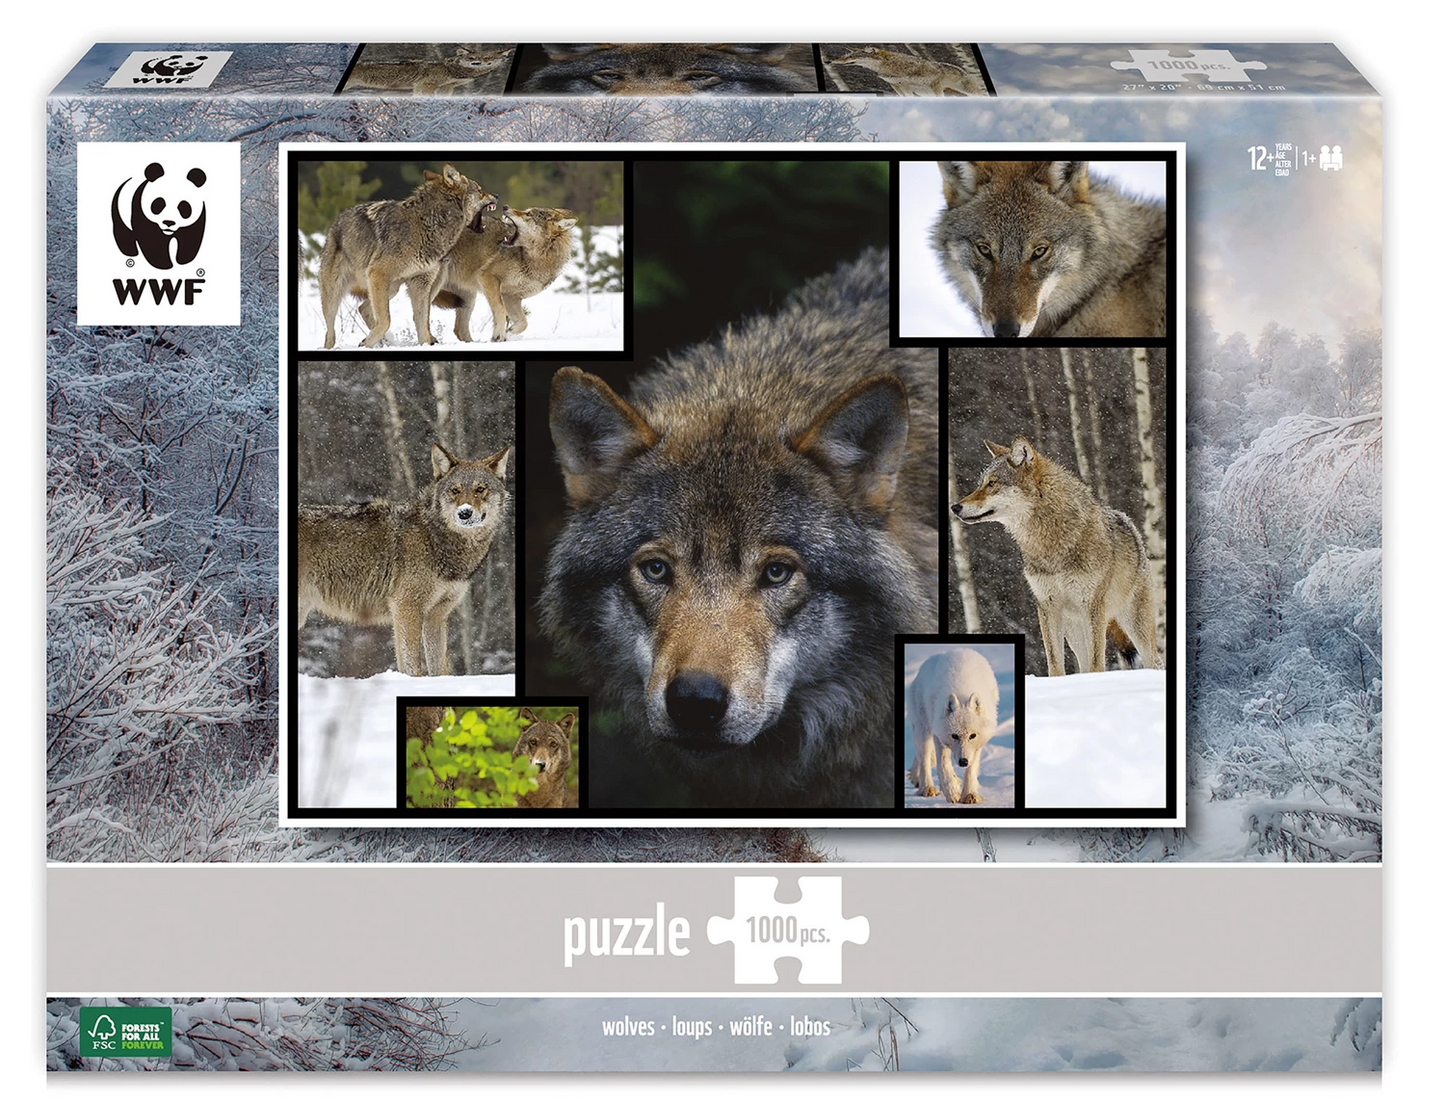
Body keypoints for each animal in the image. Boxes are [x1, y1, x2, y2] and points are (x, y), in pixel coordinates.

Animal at [297, 443, 511, 677]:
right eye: (455, 490)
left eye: (480, 489)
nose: (464, 513)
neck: (434, 538)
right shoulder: (406, 608)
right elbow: (412, 666)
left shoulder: (436, 615)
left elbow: (439, 668)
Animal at [318, 164, 496, 349]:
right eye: (479, 189)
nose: (496, 196)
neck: (428, 223)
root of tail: (336, 222)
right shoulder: (378, 273)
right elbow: (386, 321)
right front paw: (367, 342)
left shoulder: (420, 284)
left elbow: (422, 324)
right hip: (336, 294)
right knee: (330, 333)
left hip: (391, 288)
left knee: (363, 308)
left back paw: (384, 341)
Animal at [430, 207, 578, 342]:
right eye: (526, 211)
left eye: (528, 214)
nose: (505, 207)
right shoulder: (488, 278)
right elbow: (501, 309)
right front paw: (499, 335)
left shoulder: (511, 296)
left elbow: (524, 322)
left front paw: (509, 332)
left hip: (468, 297)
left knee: (459, 330)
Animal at [907, 648, 999, 804]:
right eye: (954, 736)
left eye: (972, 736)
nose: (963, 762)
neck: (962, 692)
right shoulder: (939, 736)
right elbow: (943, 765)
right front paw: (952, 792)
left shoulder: (976, 745)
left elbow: (971, 770)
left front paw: (970, 794)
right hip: (923, 731)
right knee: (924, 759)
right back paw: (926, 788)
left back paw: (916, 779)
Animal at [951, 437, 1158, 676]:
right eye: (981, 483)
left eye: (992, 483)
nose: (954, 507)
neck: (1049, 544)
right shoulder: (1046, 606)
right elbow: (1055, 664)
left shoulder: (1092, 605)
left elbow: (1097, 664)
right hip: (1074, 631)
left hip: (1134, 627)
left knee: (1154, 661)